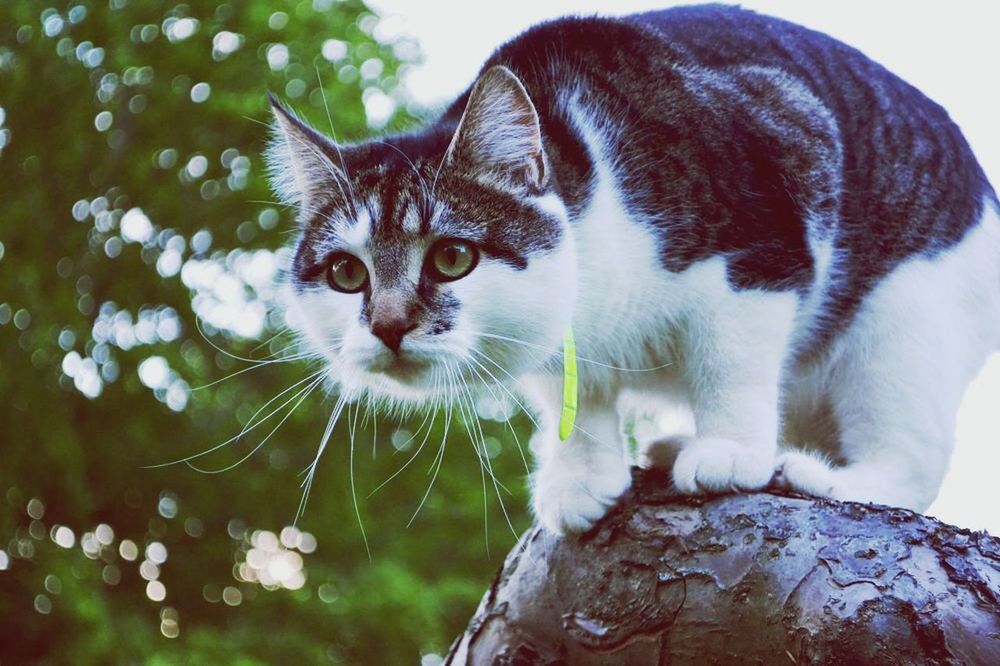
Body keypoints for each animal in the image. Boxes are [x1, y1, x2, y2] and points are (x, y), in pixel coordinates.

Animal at [266, 2, 1000, 532]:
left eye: (451, 257)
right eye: (346, 274)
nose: (388, 326)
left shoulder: (774, 210)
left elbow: (732, 360)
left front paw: (729, 450)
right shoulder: (550, 342)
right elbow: (574, 397)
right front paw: (583, 476)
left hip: (902, 326)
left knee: (914, 455)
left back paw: (824, 475)